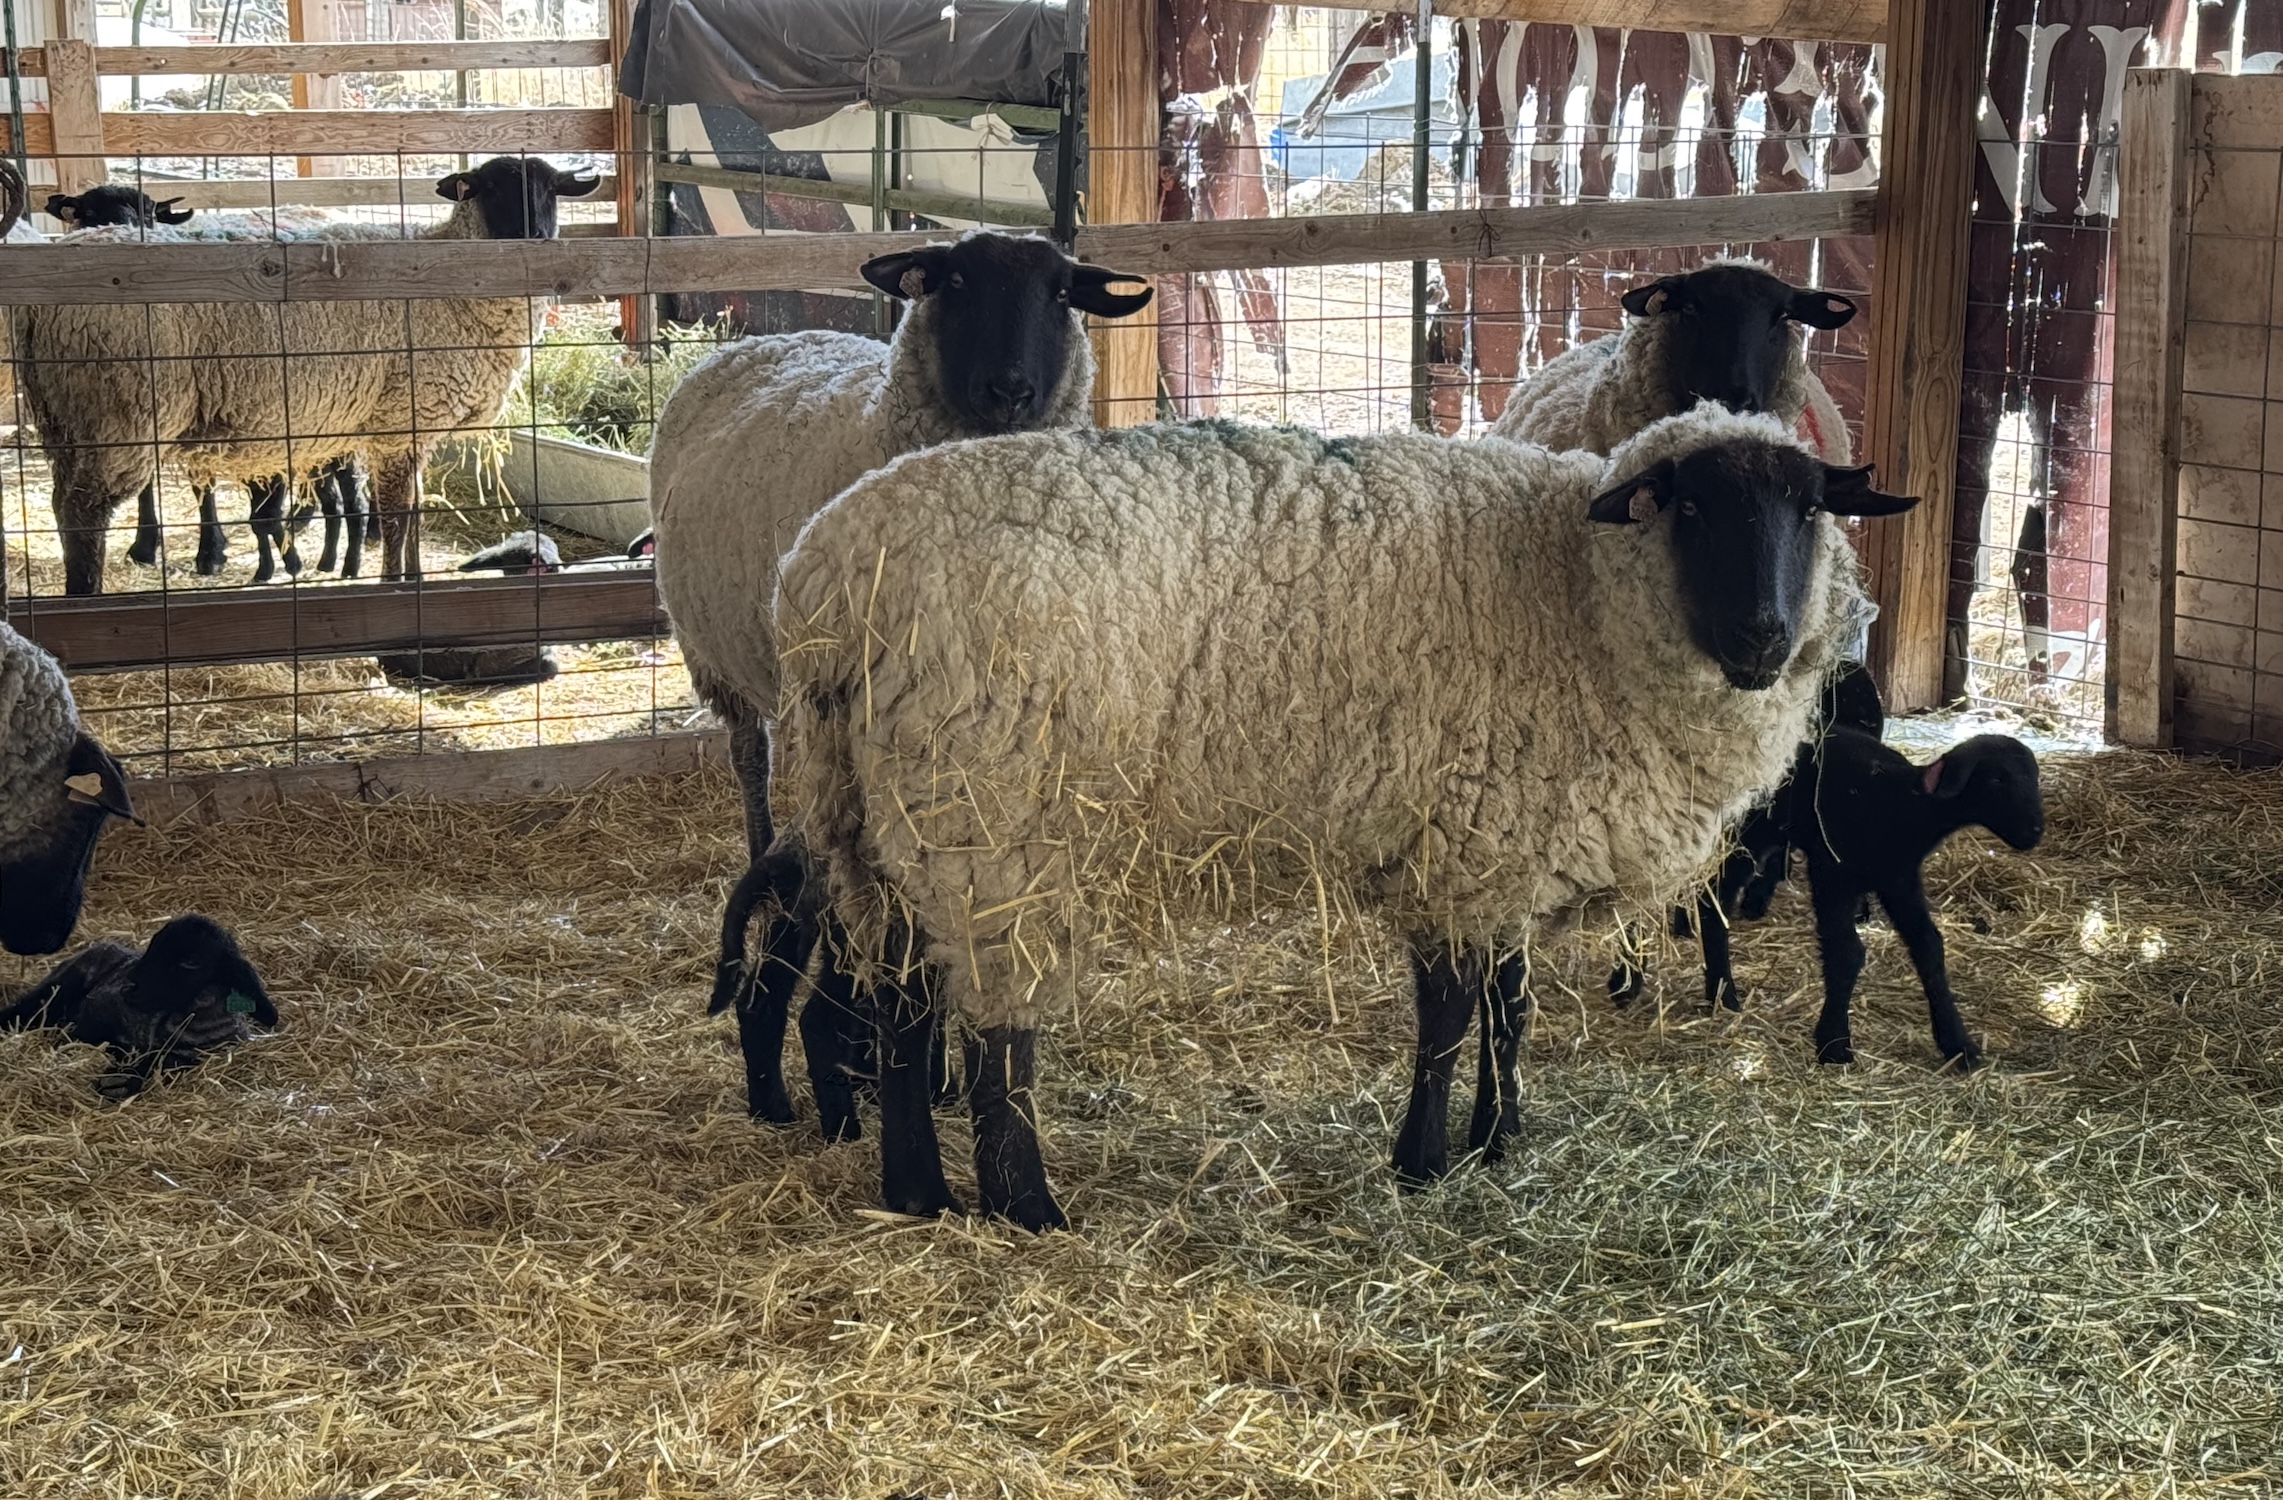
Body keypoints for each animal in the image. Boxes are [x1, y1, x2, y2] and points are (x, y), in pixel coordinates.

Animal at [0, 913, 276, 1100]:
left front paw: (120, 1080)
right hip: (60, 985)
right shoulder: (99, 1009)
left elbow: (162, 1061)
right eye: (153, 946)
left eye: (190, 962)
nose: (128, 985)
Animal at [11, 155, 601, 595]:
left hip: (66, 417)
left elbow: (410, 514)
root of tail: (36, 305)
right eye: (492, 189)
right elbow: (396, 516)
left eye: (550, 191)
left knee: (65, 507)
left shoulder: (410, 429)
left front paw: (410, 578)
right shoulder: (399, 418)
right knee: (85, 514)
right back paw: (90, 597)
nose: (537, 238)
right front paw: (393, 587)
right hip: (120, 412)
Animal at [645, 229, 1151, 1128]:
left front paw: (934, 1076)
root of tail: (770, 334)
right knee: (751, 766)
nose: (1010, 391)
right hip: (731, 673)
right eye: (953, 281)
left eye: (1061, 294)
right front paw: (892, 1067)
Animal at [764, 403, 1917, 1228]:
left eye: (1809, 511)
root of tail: (825, 583)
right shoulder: (1466, 835)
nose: (1765, 638)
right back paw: (1027, 1207)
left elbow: (1509, 1005)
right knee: (997, 1031)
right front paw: (1423, 1161)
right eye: (1690, 509)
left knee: (900, 1005)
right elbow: (1449, 1014)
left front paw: (1499, 1139)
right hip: (994, 819)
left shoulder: (1509, 840)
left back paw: (917, 1194)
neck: (1577, 593)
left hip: (875, 819)